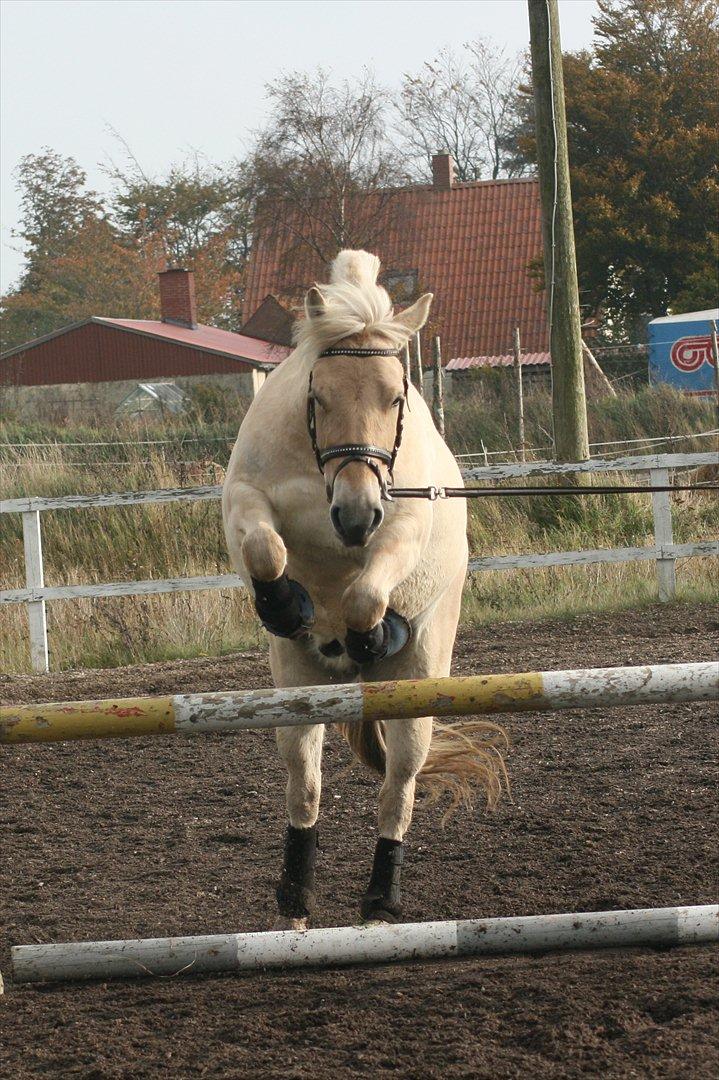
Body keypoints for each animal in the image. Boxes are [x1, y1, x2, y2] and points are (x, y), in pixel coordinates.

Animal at [221, 250, 500, 928]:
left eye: (398, 397)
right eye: (317, 396)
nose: (354, 516)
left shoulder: (402, 523)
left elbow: (364, 596)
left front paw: (371, 633)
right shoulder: (246, 498)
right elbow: (266, 548)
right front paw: (284, 603)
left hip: (419, 682)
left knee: (398, 786)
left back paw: (380, 902)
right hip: (295, 689)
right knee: (305, 783)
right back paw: (295, 904)